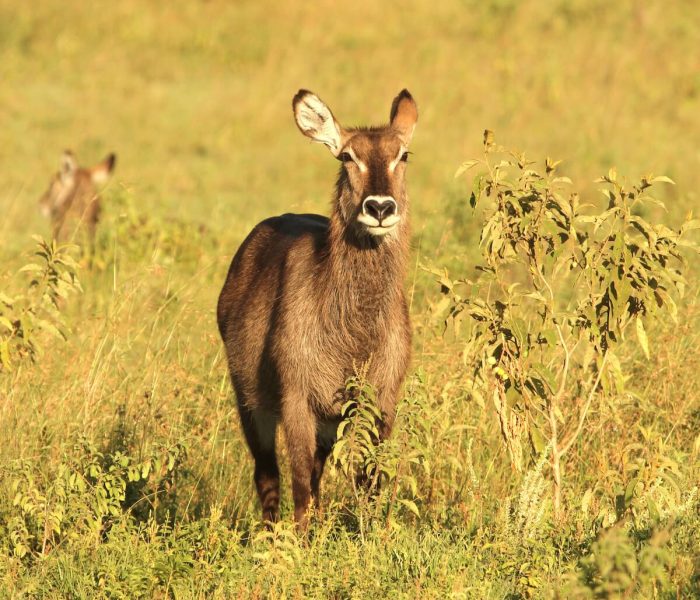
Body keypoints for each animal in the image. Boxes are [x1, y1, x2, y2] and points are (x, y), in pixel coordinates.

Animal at [216, 86, 418, 528]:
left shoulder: (381, 401)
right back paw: (271, 534)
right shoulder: (297, 399)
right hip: (250, 399)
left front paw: (368, 535)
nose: (380, 208)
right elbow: (299, 488)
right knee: (268, 473)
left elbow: (370, 482)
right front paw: (300, 543)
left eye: (404, 154)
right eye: (347, 156)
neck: (354, 335)